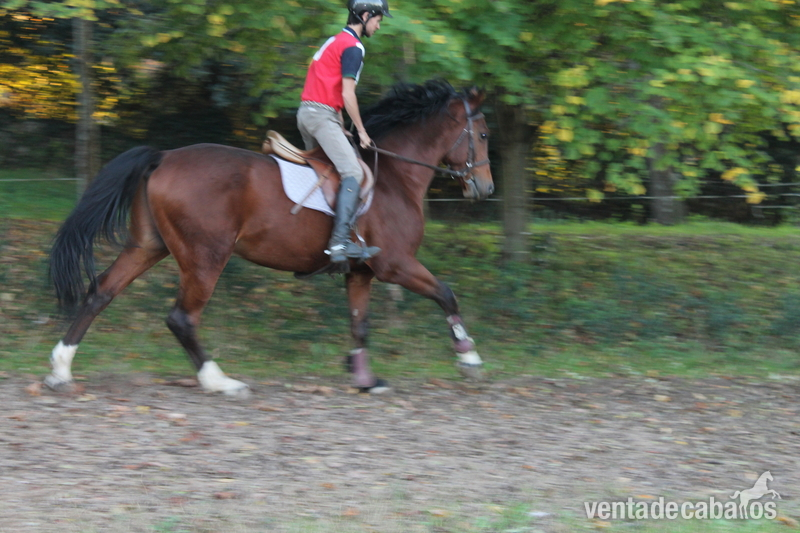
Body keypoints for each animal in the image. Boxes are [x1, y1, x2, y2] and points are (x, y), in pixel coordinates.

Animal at [45, 80, 494, 397]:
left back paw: (60, 369)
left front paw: (365, 378)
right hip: (205, 256)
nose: (485, 189)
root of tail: (163, 157)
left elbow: (360, 324)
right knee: (182, 318)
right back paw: (220, 381)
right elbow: (446, 293)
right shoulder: (396, 264)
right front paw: (469, 357)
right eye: (485, 135)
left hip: (148, 246)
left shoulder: (361, 272)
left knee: (101, 291)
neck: (395, 177)